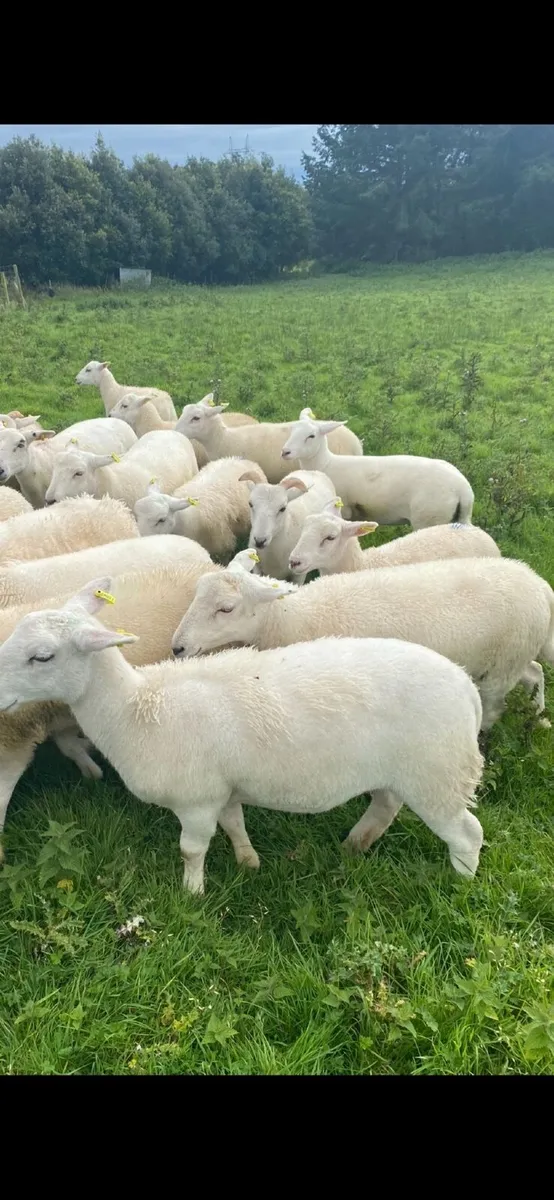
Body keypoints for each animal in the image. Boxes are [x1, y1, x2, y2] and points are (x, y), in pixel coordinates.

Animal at [172, 556, 554, 731]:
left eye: (226, 608)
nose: (177, 647)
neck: (293, 615)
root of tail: (539, 584)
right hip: (509, 658)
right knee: (535, 671)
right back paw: (538, 714)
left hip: (502, 667)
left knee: (494, 707)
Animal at [280, 415, 475, 530]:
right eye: (291, 429)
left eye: (311, 436)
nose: (285, 452)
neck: (325, 464)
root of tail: (463, 490)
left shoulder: (345, 510)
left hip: (429, 518)